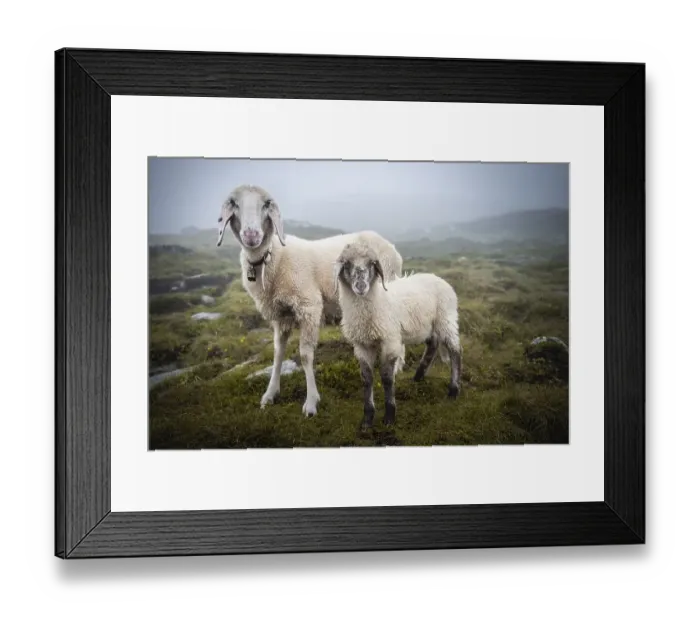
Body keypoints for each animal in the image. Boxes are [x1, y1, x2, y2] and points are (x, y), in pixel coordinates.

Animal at [216, 184, 403, 417]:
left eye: (266, 204)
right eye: (235, 204)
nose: (252, 235)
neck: (273, 258)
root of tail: (390, 246)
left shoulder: (309, 306)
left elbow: (305, 355)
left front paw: (311, 402)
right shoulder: (280, 315)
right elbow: (278, 353)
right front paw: (270, 394)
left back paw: (396, 367)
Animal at [333, 240, 463, 430]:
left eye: (372, 263)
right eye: (347, 264)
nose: (361, 286)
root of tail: (437, 278)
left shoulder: (390, 341)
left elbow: (387, 378)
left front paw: (389, 416)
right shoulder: (362, 344)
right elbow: (367, 379)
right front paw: (367, 419)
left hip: (445, 320)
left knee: (455, 350)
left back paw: (453, 390)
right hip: (427, 326)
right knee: (433, 344)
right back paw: (418, 377)